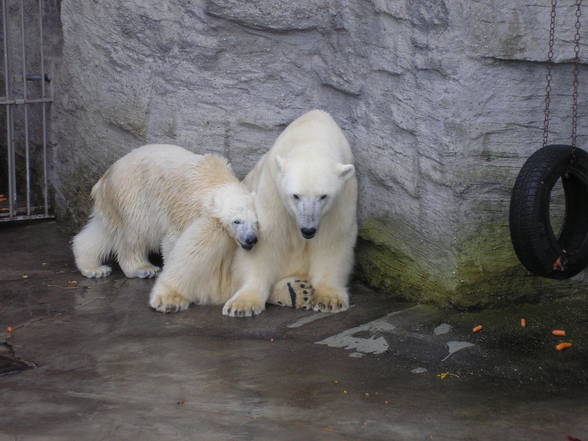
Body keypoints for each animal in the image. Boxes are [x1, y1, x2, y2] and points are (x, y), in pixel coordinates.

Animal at [222, 109, 356, 316]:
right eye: (295, 196)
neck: (311, 135)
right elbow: (267, 241)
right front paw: (243, 304)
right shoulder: (272, 191)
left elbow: (332, 240)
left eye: (323, 196)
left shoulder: (342, 199)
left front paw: (329, 299)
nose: (308, 230)